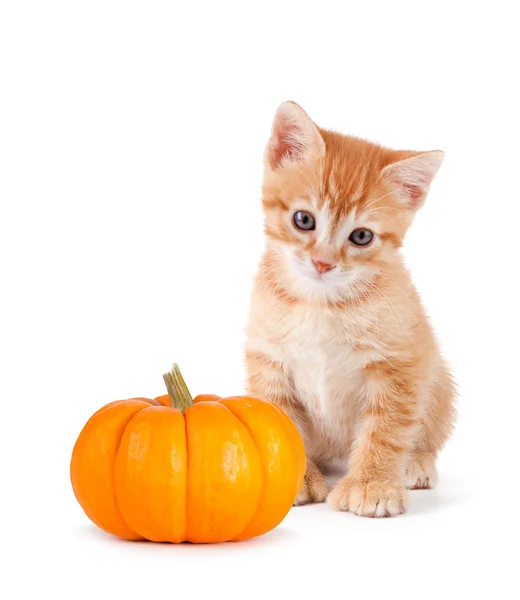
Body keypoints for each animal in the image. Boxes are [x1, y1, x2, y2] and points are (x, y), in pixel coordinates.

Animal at [244, 102, 456, 516]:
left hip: (439, 378)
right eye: (304, 219)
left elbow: (386, 429)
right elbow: (282, 419)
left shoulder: (401, 362)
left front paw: (373, 485)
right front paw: (296, 479)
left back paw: (417, 463)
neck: (321, 302)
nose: (323, 262)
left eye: (361, 236)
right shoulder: (267, 359)